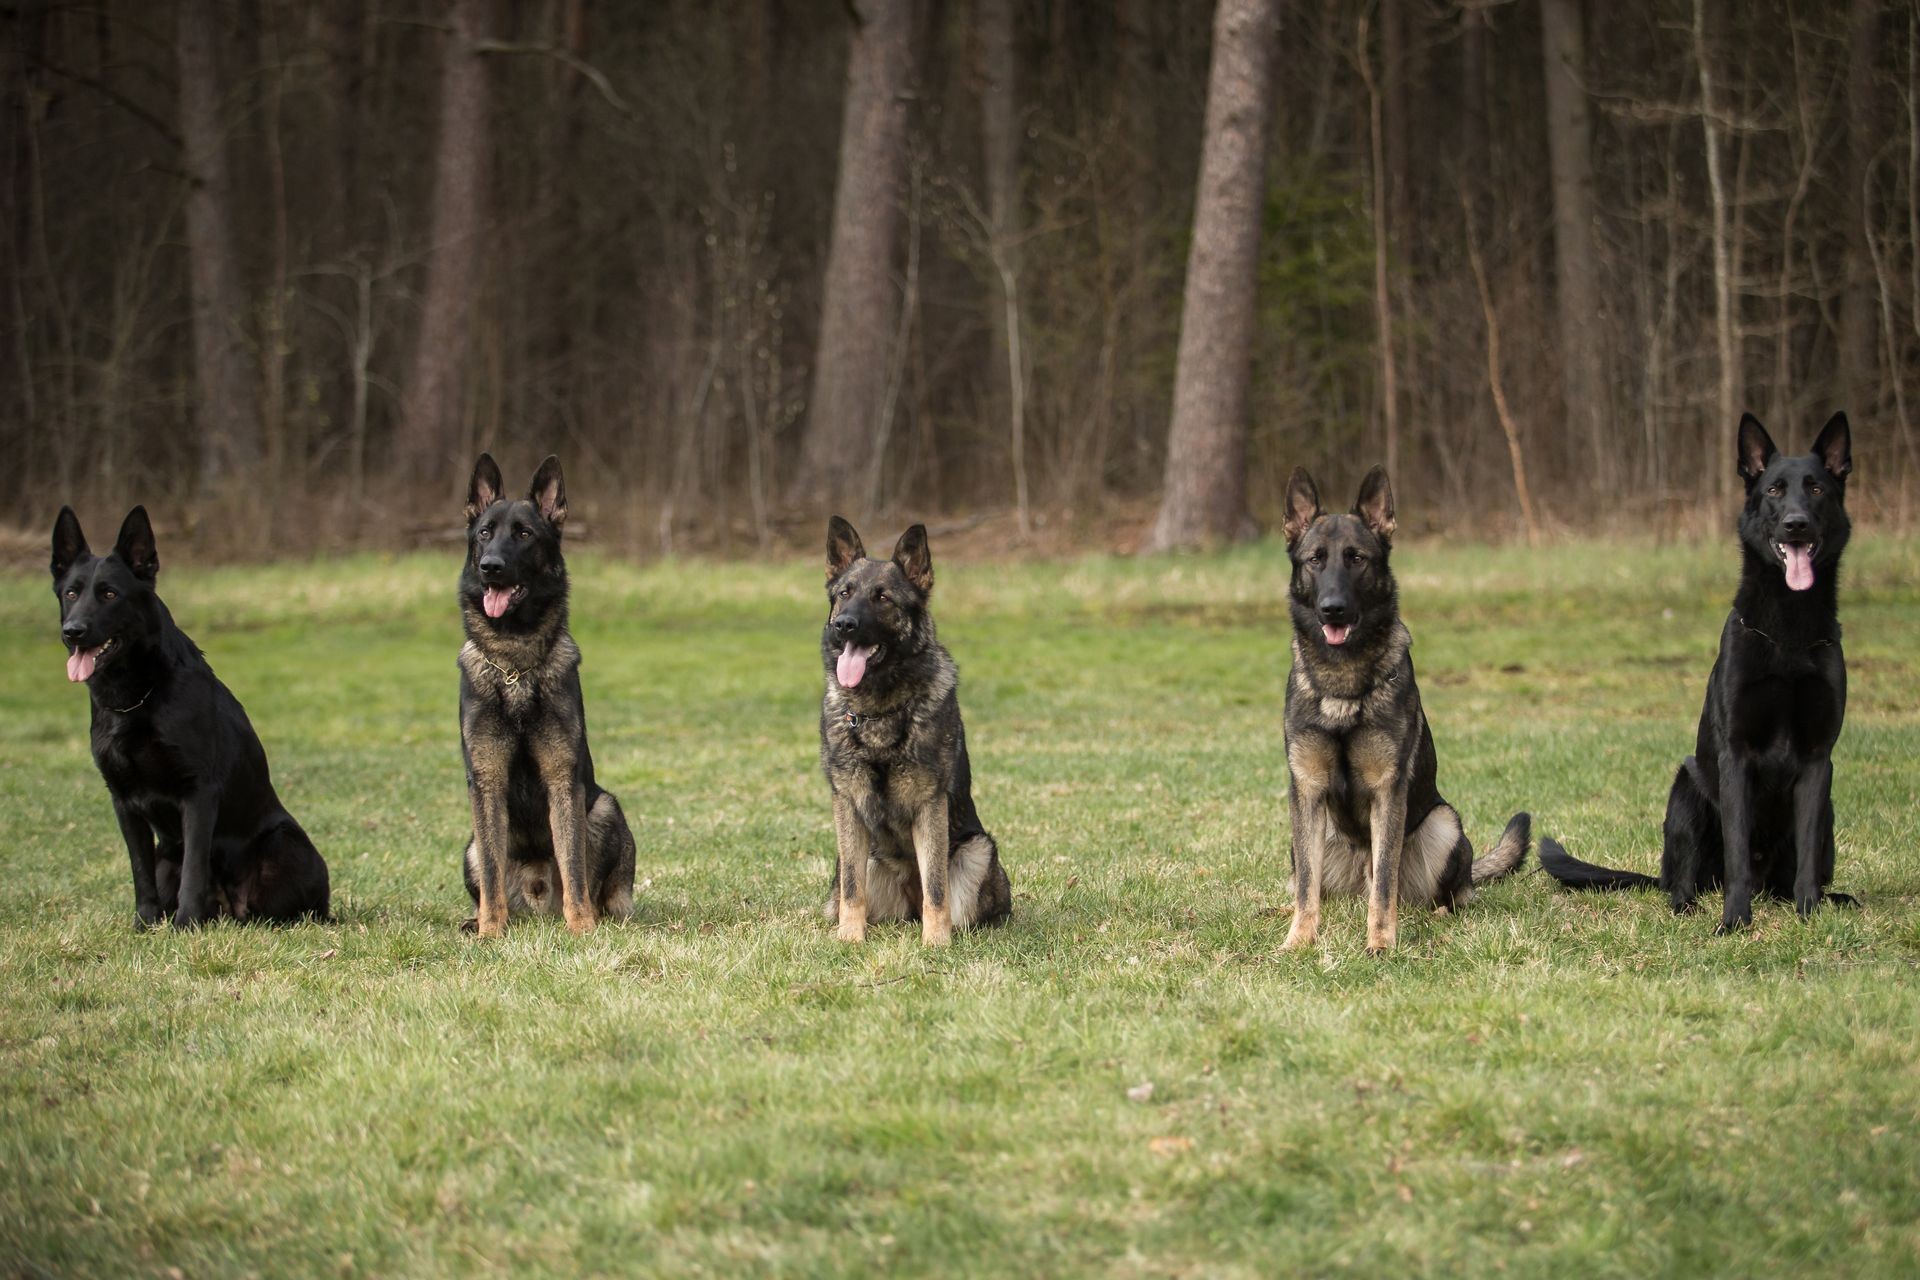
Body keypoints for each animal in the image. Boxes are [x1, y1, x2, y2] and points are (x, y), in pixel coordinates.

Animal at [49, 502, 334, 932]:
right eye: (71, 593)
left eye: (110, 594)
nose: (73, 631)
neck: (139, 696)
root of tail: (232, 910)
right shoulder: (123, 801)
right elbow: (140, 871)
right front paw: (145, 924)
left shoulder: (198, 793)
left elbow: (195, 870)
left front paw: (185, 924)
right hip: (166, 854)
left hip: (285, 844)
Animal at [456, 454, 637, 936]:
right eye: (485, 532)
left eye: (524, 534)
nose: (491, 566)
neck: (516, 665)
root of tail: (536, 902)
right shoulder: (487, 782)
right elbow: (493, 875)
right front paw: (490, 931)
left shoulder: (562, 780)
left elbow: (572, 864)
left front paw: (582, 928)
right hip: (470, 845)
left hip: (605, 809)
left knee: (599, 887)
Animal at [817, 514, 1013, 948]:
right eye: (844, 593)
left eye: (883, 598)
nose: (843, 625)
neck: (879, 709)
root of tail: (908, 897)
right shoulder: (847, 805)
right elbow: (852, 887)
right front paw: (849, 938)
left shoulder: (930, 805)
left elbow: (937, 887)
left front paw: (935, 943)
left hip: (977, 850)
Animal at [1282, 468, 1536, 951]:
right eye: (1315, 560)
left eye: (1356, 559)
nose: (1332, 609)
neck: (1344, 681)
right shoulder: (1307, 791)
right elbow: (1307, 886)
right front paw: (1299, 941)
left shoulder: (1388, 793)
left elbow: (1385, 883)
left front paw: (1381, 944)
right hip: (1304, 837)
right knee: (1314, 882)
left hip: (1444, 822)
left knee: (1444, 894)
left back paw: (1437, 916)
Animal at [1528, 412, 1858, 932]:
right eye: (1774, 490)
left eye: (1817, 489)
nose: (1796, 524)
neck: (1787, 633)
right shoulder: (1734, 756)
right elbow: (1738, 852)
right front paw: (1735, 921)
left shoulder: (1817, 759)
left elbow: (1805, 854)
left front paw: (1809, 916)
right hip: (1687, 790)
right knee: (1683, 881)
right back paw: (1690, 904)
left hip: (1828, 809)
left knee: (1796, 872)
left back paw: (1825, 899)